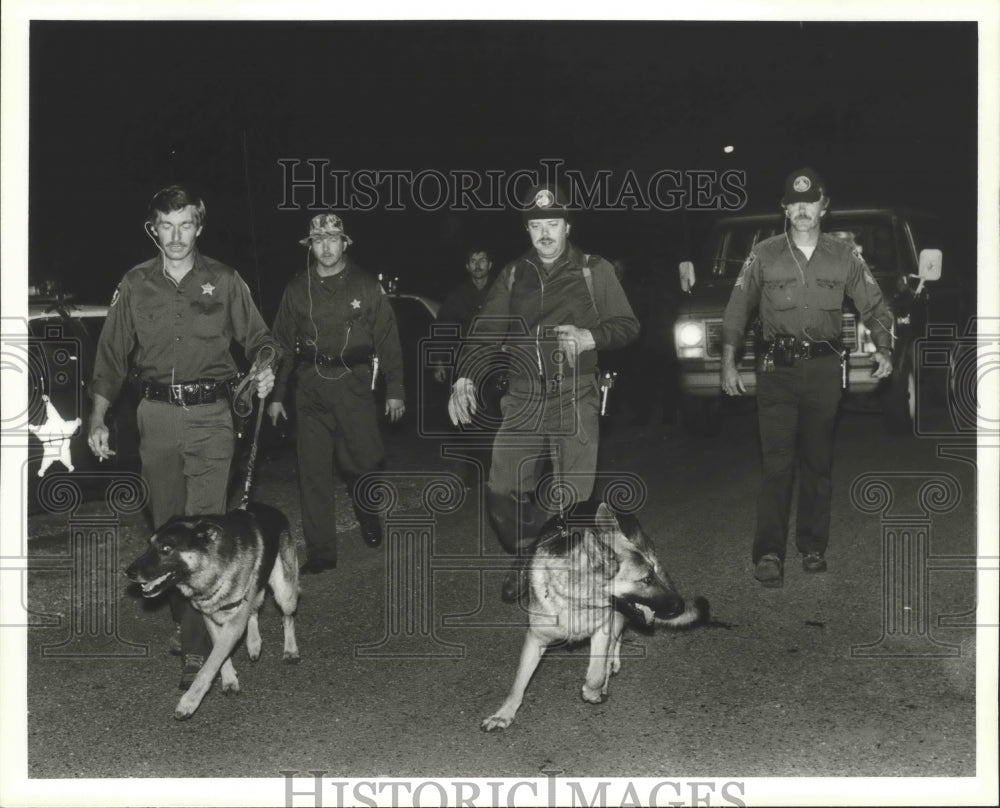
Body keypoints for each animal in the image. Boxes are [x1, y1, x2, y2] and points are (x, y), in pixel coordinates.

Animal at [124, 504, 298, 720]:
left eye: (166, 548)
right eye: (149, 544)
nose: (128, 572)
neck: (210, 565)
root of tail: (271, 508)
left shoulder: (233, 623)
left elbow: (210, 664)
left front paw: (189, 701)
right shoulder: (210, 616)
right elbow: (219, 650)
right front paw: (229, 678)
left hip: (285, 592)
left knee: (287, 618)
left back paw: (290, 649)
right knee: (253, 612)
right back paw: (254, 643)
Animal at [480, 502, 708, 728]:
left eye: (652, 574)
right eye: (646, 579)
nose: (679, 605)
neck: (577, 600)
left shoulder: (603, 629)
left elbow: (596, 672)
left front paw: (592, 692)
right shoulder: (536, 638)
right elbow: (519, 681)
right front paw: (504, 714)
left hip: (618, 616)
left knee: (616, 639)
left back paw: (611, 665)